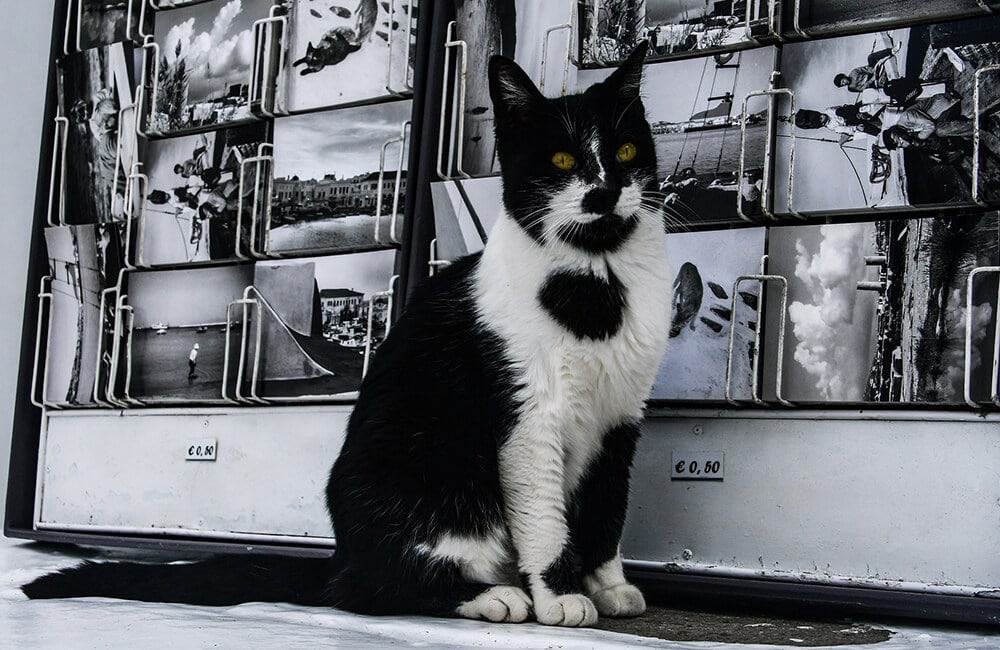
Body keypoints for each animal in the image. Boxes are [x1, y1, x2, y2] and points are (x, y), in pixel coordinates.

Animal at [25, 43, 672, 624]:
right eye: (561, 161)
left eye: (626, 149)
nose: (604, 191)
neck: (598, 285)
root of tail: (341, 557)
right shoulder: (528, 418)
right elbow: (544, 516)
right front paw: (562, 595)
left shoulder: (621, 418)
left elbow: (607, 509)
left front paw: (607, 586)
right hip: (421, 472)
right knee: (370, 590)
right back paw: (491, 596)